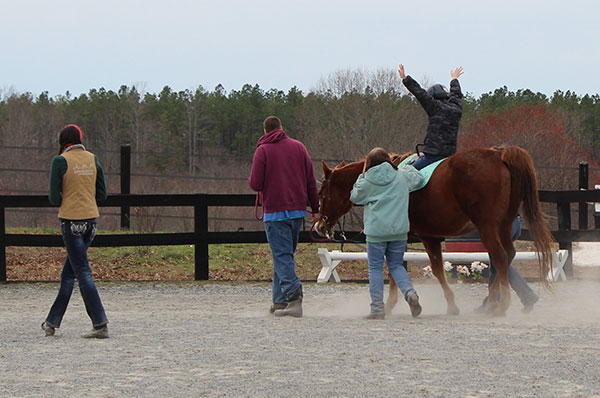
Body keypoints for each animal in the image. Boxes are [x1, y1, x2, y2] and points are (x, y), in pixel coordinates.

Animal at [316, 147, 556, 318]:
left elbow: (434, 270)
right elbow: (398, 270)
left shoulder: (426, 237)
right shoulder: (407, 238)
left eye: (321, 193)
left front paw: (450, 304)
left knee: (500, 257)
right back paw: (491, 302)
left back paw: (500, 304)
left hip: (488, 227)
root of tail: (499, 153)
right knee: (507, 257)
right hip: (504, 225)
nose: (319, 225)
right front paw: (397, 303)